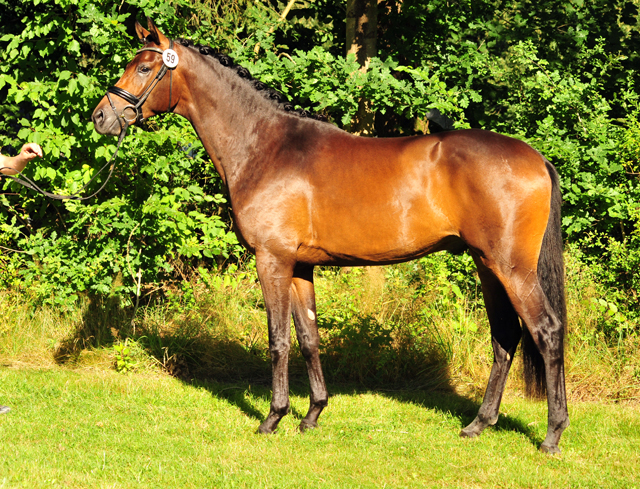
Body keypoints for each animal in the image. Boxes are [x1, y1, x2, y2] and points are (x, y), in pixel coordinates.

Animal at [91, 19, 568, 454]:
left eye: (144, 67)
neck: (264, 147)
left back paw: (552, 434)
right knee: (505, 337)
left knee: (546, 331)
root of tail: (537, 159)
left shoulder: (272, 260)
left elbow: (279, 340)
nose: (101, 117)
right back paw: (478, 424)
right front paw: (313, 414)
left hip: (511, 268)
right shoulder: (301, 265)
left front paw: (273, 417)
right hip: (487, 265)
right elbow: (309, 338)